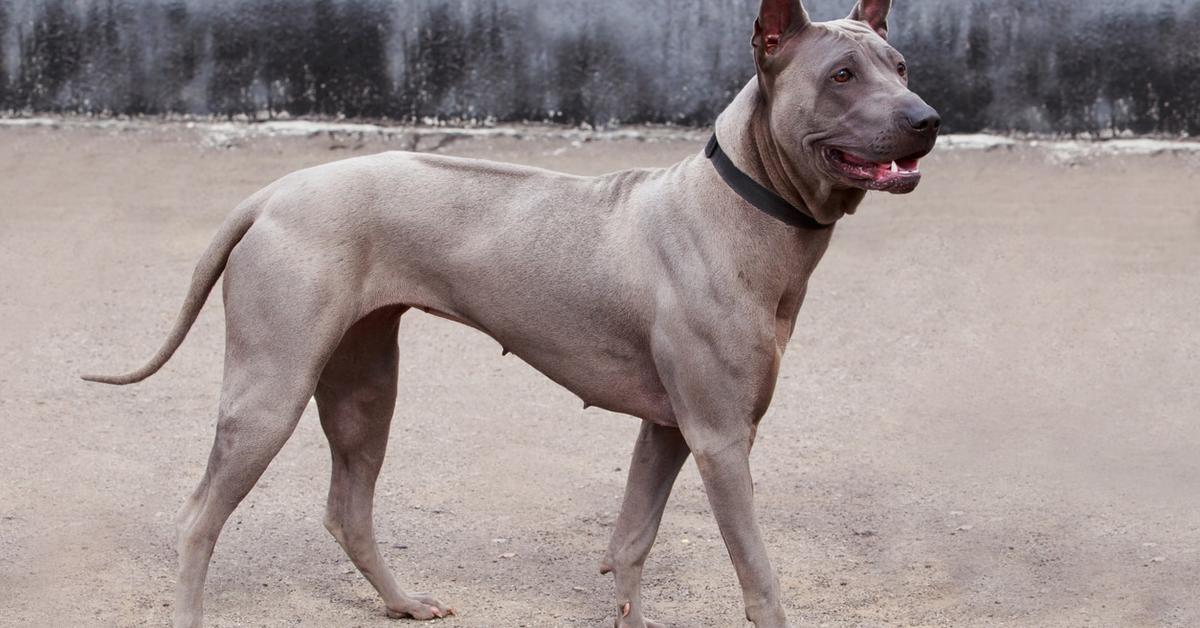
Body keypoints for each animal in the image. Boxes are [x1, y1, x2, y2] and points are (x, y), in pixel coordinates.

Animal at [87, 1, 936, 628]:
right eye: (841, 74)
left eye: (900, 67)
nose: (928, 118)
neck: (742, 207)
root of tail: (273, 192)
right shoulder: (721, 439)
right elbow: (758, 576)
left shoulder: (667, 429)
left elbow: (632, 538)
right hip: (270, 390)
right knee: (199, 516)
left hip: (364, 386)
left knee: (346, 509)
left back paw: (403, 603)